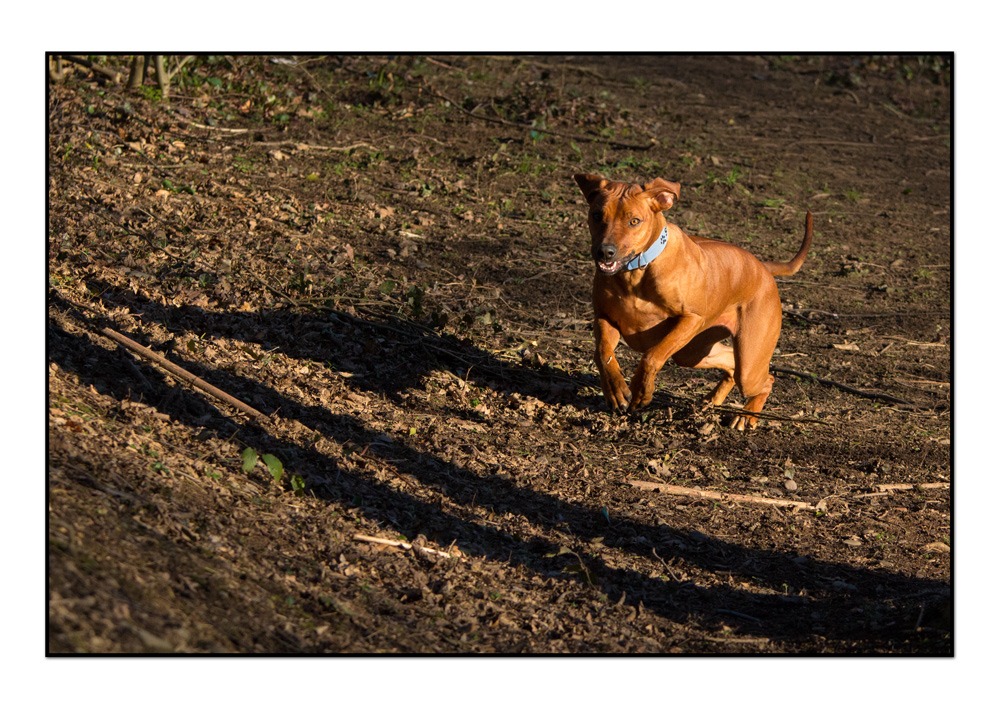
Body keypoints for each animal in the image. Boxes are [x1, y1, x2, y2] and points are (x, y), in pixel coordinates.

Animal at [572, 176, 812, 432]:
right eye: (597, 215)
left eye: (634, 221)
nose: (605, 252)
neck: (636, 270)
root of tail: (763, 267)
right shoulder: (604, 317)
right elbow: (603, 353)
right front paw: (615, 390)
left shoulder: (690, 319)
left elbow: (652, 356)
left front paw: (640, 390)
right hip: (693, 351)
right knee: (730, 362)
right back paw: (712, 401)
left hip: (748, 363)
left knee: (765, 378)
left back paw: (747, 415)